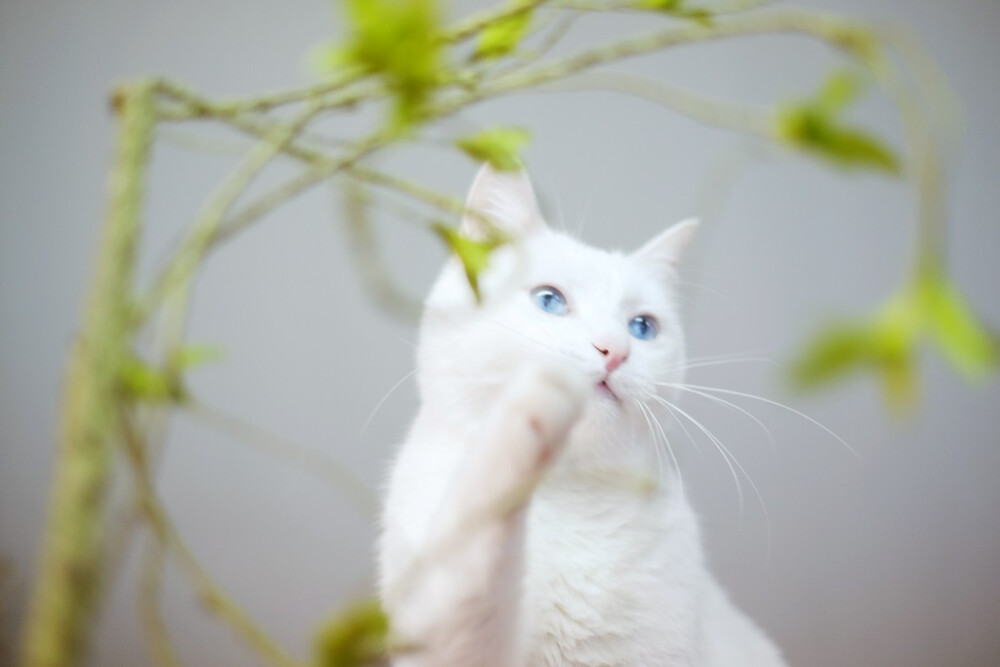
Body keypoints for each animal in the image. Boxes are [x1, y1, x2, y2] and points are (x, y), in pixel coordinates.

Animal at [378, 164, 784, 664]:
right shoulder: (444, 634)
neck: (568, 500)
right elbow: (477, 548)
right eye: (549, 300)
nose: (615, 350)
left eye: (643, 327)